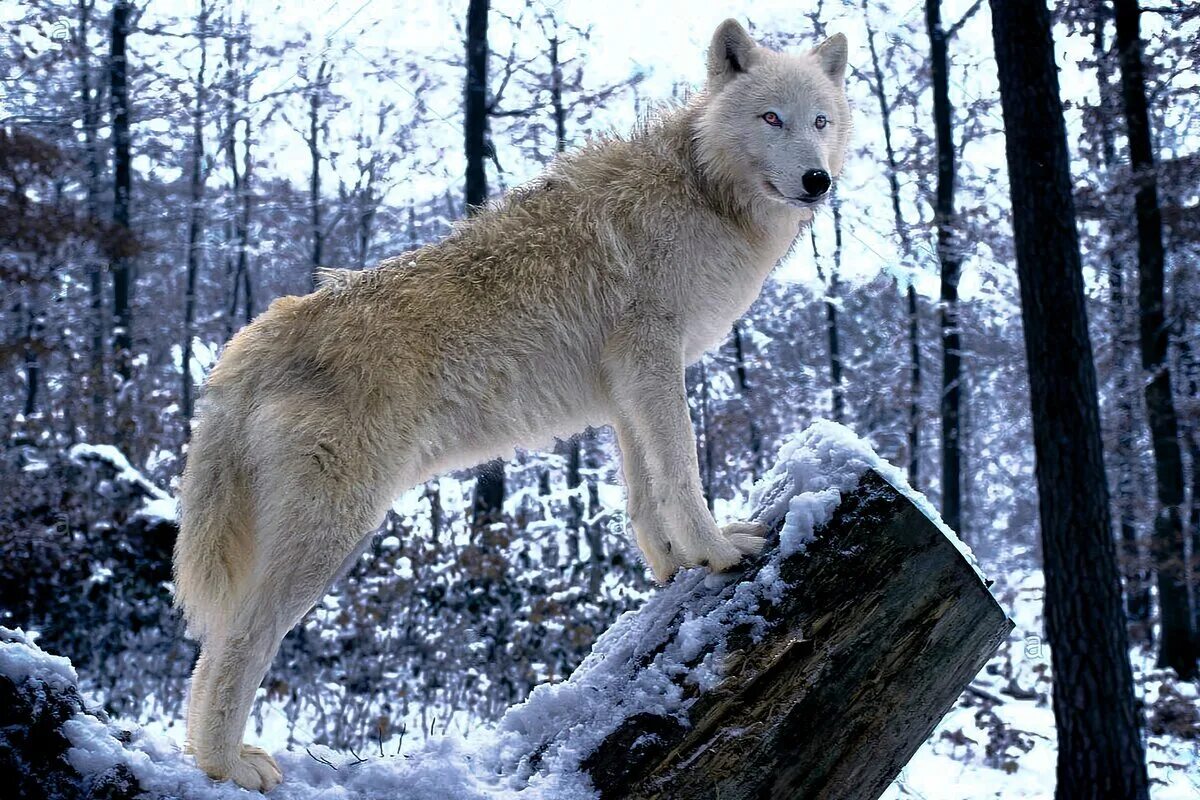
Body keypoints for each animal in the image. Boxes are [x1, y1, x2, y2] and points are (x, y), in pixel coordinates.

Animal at [175, 21, 854, 791]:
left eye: (820, 121)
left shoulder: (626, 388)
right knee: (236, 644)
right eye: (771, 118)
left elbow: (644, 498)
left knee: (207, 653)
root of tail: (246, 348)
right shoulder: (654, 359)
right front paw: (715, 554)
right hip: (332, 535)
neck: (702, 189)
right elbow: (681, 474)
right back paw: (227, 767)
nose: (819, 180)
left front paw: (674, 569)